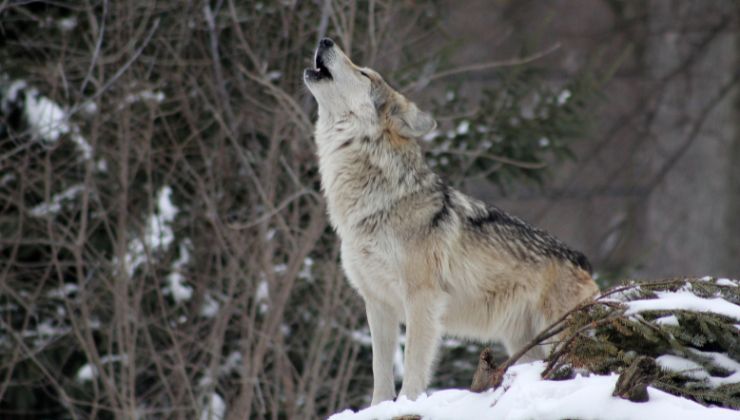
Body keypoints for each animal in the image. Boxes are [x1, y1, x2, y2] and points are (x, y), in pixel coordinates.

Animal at [304, 37, 600, 406]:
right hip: (524, 345)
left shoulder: (422, 299)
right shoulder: (378, 303)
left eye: (364, 73)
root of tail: (583, 260)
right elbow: (380, 372)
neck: (375, 202)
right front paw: (379, 408)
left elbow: (413, 365)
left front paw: (408, 404)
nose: (325, 40)